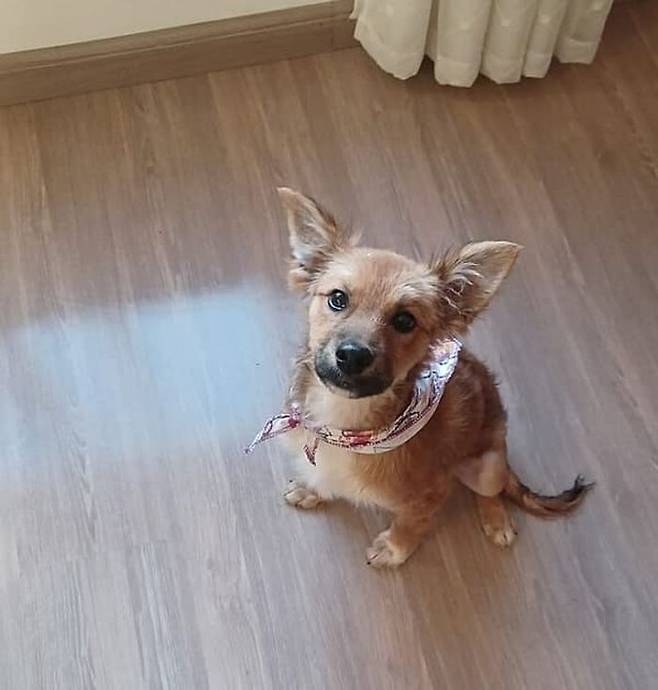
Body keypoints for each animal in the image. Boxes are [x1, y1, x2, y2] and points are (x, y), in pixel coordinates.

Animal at [250, 187, 592, 568]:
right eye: (338, 299)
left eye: (404, 320)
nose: (352, 355)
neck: (346, 426)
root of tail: (504, 455)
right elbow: (322, 475)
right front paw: (312, 489)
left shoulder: (431, 493)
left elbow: (411, 523)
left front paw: (394, 548)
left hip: (487, 466)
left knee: (492, 491)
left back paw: (496, 520)